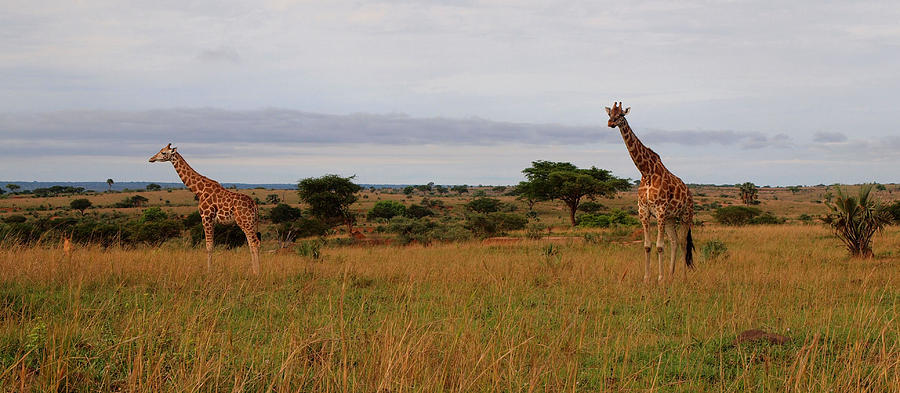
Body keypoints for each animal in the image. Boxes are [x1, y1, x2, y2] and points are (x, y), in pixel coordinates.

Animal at [148, 142, 260, 274]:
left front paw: (209, 272)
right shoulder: (213, 221)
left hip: (245, 222)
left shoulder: (206, 217)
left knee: (255, 243)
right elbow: (211, 245)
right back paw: (254, 271)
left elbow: (209, 246)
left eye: (163, 152)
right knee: (251, 244)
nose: (151, 159)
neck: (198, 191)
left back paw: (257, 273)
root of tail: (255, 205)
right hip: (250, 222)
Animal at [604, 102, 696, 282]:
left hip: (685, 215)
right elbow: (647, 245)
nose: (611, 123)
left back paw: (682, 277)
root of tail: (689, 194)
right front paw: (647, 278)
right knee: (674, 241)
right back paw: (671, 275)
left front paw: (659, 279)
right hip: (670, 218)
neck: (646, 172)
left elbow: (659, 246)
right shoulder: (644, 210)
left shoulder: (659, 210)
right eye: (610, 114)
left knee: (683, 242)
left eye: (621, 115)